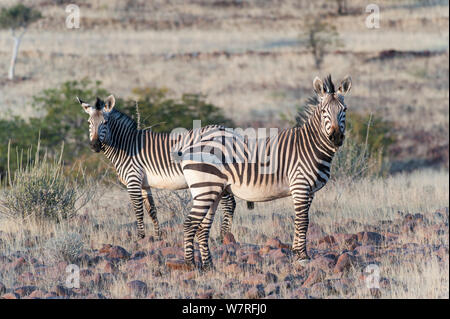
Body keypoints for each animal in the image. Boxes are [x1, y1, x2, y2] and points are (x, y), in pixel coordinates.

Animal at [76, 95, 250, 242]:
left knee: (229, 204)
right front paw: (157, 236)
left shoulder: (133, 179)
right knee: (230, 203)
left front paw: (140, 238)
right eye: (89, 123)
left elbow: (138, 210)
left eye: (105, 123)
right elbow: (151, 209)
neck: (126, 145)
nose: (94, 145)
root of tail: (230, 132)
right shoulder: (144, 184)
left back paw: (223, 236)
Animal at [176, 75, 352, 270]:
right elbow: (303, 221)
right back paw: (190, 264)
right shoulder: (300, 186)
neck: (309, 146)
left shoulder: (310, 191)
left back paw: (209, 265)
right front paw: (303, 256)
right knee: (190, 224)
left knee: (202, 227)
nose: (336, 137)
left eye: (344, 109)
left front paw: (296, 253)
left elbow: (301, 220)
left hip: (213, 192)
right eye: (323, 111)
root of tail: (189, 148)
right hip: (205, 190)